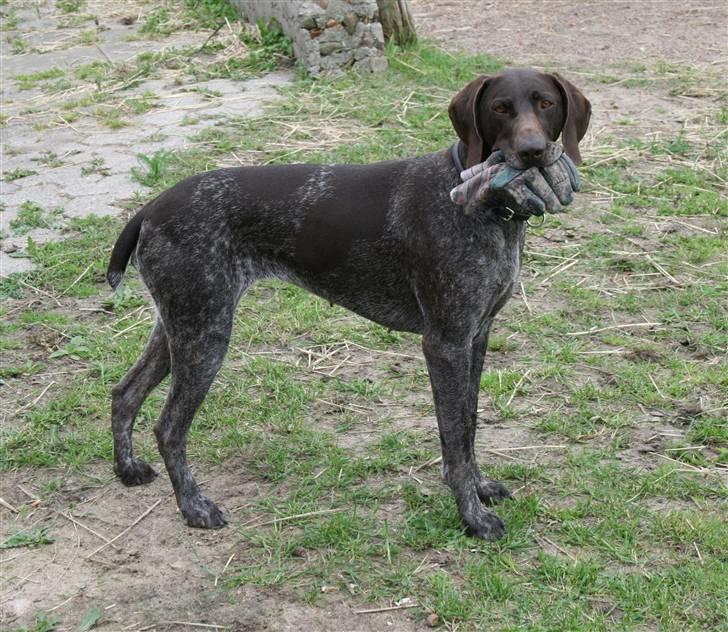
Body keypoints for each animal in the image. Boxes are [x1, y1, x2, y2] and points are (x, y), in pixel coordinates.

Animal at [108, 69, 592, 540]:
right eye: (500, 108)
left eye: (546, 103)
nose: (532, 152)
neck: (477, 204)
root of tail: (151, 207)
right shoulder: (445, 343)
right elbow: (454, 438)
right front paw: (472, 517)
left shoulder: (477, 335)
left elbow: (469, 425)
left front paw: (480, 488)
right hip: (205, 335)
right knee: (169, 426)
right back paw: (193, 507)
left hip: (180, 326)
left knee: (124, 393)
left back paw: (127, 470)